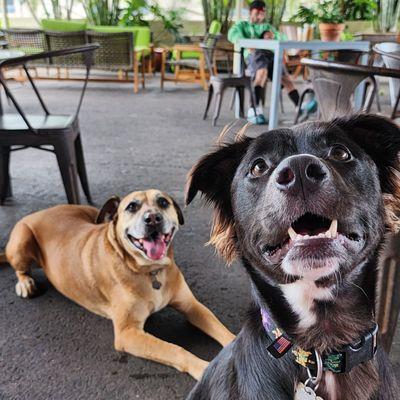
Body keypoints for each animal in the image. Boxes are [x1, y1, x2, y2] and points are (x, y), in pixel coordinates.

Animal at [3, 190, 234, 378]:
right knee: (20, 268)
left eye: (163, 202)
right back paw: (25, 283)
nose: (153, 218)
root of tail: (42, 211)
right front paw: (204, 368)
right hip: (22, 239)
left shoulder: (192, 306)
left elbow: (219, 327)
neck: (150, 271)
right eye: (132, 206)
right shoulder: (127, 333)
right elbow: (174, 349)